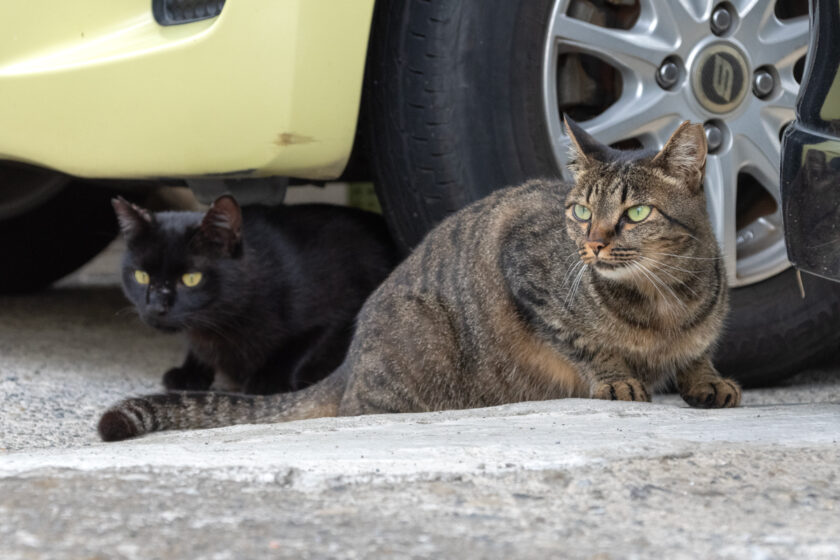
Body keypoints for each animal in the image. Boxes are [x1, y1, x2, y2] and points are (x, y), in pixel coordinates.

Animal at [112, 195, 400, 396]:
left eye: (191, 279)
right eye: (141, 276)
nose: (155, 307)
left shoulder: (344, 309)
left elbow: (305, 345)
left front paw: (268, 379)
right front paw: (190, 370)